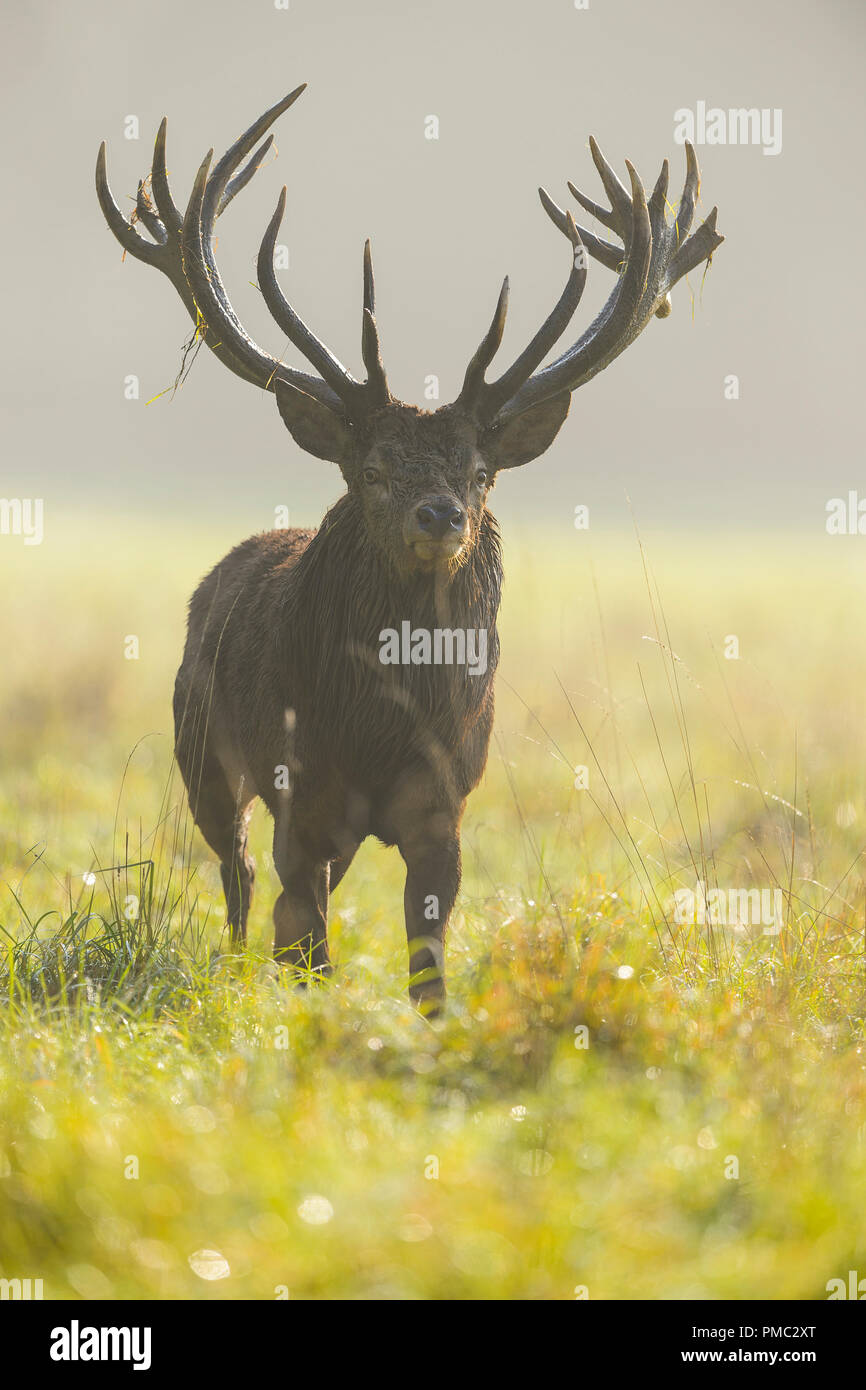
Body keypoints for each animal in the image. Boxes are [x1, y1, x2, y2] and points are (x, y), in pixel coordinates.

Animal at [94, 89, 722, 1023]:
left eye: (480, 471)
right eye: (373, 469)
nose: (441, 515)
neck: (377, 727)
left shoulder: (444, 801)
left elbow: (428, 960)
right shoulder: (300, 788)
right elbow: (305, 941)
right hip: (199, 748)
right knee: (239, 878)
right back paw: (234, 964)